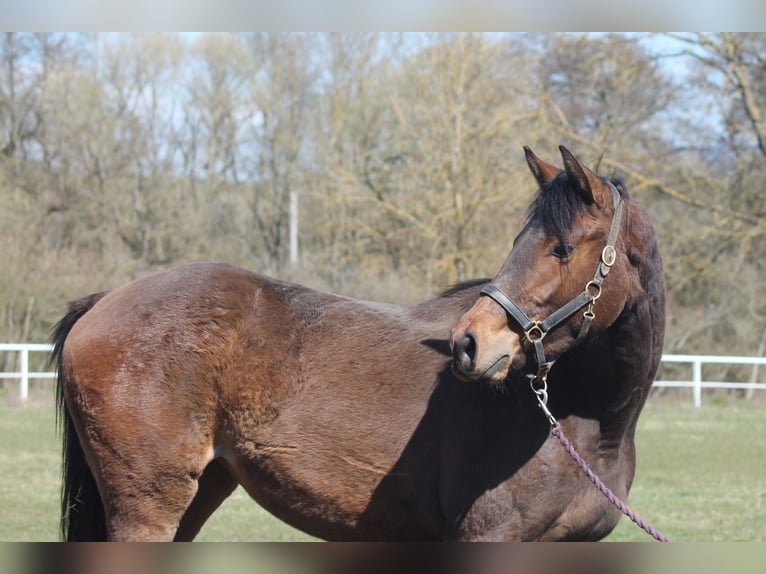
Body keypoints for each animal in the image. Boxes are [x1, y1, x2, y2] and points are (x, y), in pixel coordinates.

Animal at [51, 145, 664, 542]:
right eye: (524, 241)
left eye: (561, 248)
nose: (468, 343)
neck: (585, 424)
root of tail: (105, 300)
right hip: (148, 507)